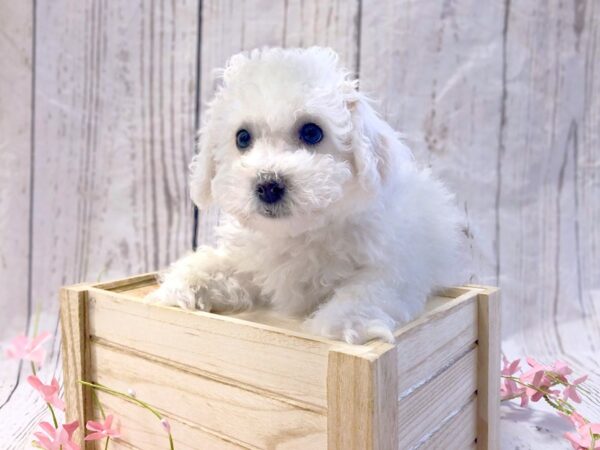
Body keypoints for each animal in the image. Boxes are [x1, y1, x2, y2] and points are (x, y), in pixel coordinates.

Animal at [146, 46, 464, 344]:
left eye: (312, 132)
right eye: (242, 138)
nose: (268, 185)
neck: (298, 233)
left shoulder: (397, 265)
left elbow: (369, 289)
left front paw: (343, 324)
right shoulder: (250, 261)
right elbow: (219, 265)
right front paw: (180, 285)